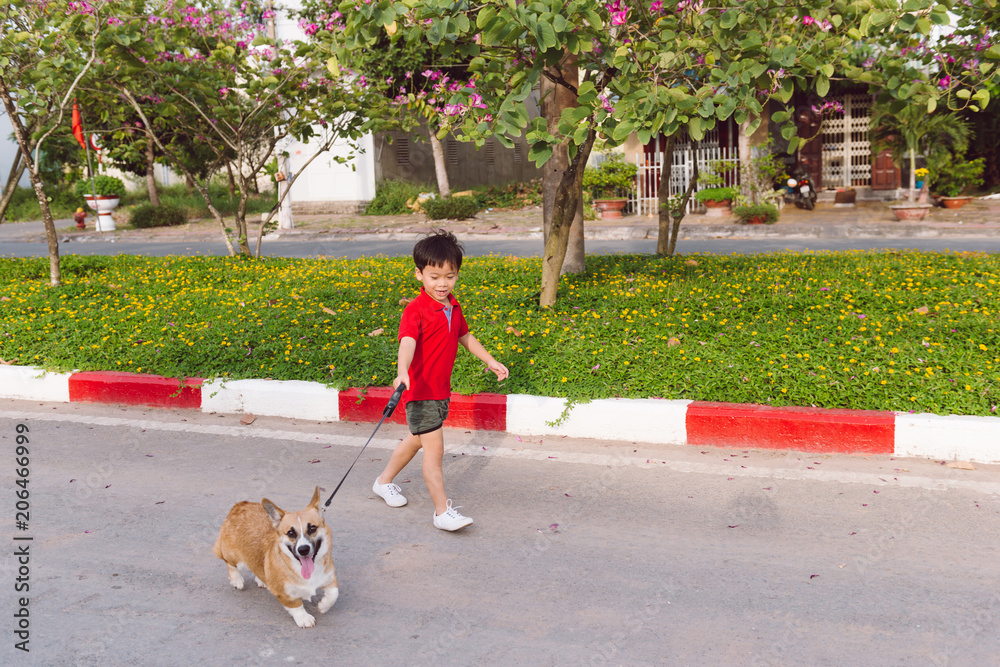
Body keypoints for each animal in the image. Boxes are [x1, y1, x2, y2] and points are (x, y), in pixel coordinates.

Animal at [213, 488, 338, 628]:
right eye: (291, 533)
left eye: (312, 528)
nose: (303, 549)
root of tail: (240, 505)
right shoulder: (284, 593)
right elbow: (296, 605)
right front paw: (304, 618)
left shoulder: (330, 577)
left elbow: (333, 594)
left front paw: (323, 606)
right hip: (233, 555)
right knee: (229, 563)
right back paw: (237, 580)